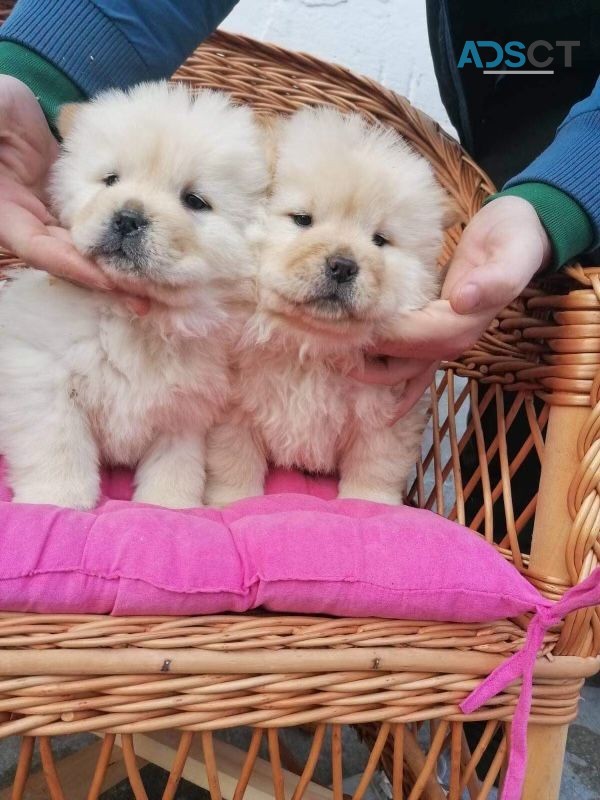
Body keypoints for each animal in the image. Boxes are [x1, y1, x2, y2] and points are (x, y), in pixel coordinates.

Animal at [0, 79, 268, 506]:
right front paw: (55, 500)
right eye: (111, 180)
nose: (127, 218)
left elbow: (176, 464)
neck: (135, 319)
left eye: (194, 201)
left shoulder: (186, 408)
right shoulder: (44, 376)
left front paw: (168, 505)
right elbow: (58, 447)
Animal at [206, 106, 450, 506]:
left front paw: (370, 505)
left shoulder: (385, 420)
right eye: (302, 219)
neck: (310, 350)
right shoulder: (233, 412)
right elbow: (235, 464)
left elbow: (375, 470)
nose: (343, 265)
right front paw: (231, 502)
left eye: (380, 240)